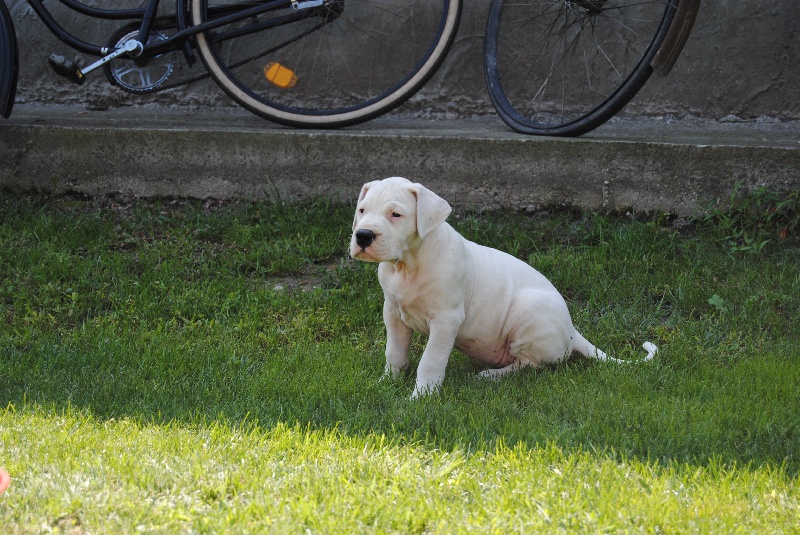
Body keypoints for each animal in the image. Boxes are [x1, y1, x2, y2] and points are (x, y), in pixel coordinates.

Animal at [350, 178, 656, 400]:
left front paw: (421, 397)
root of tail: (572, 331)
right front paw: (387, 382)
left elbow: (431, 360)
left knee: (531, 365)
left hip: (528, 316)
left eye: (396, 214)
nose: (363, 236)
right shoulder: (393, 314)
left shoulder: (445, 321)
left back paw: (491, 376)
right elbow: (394, 353)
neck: (409, 265)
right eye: (362, 210)